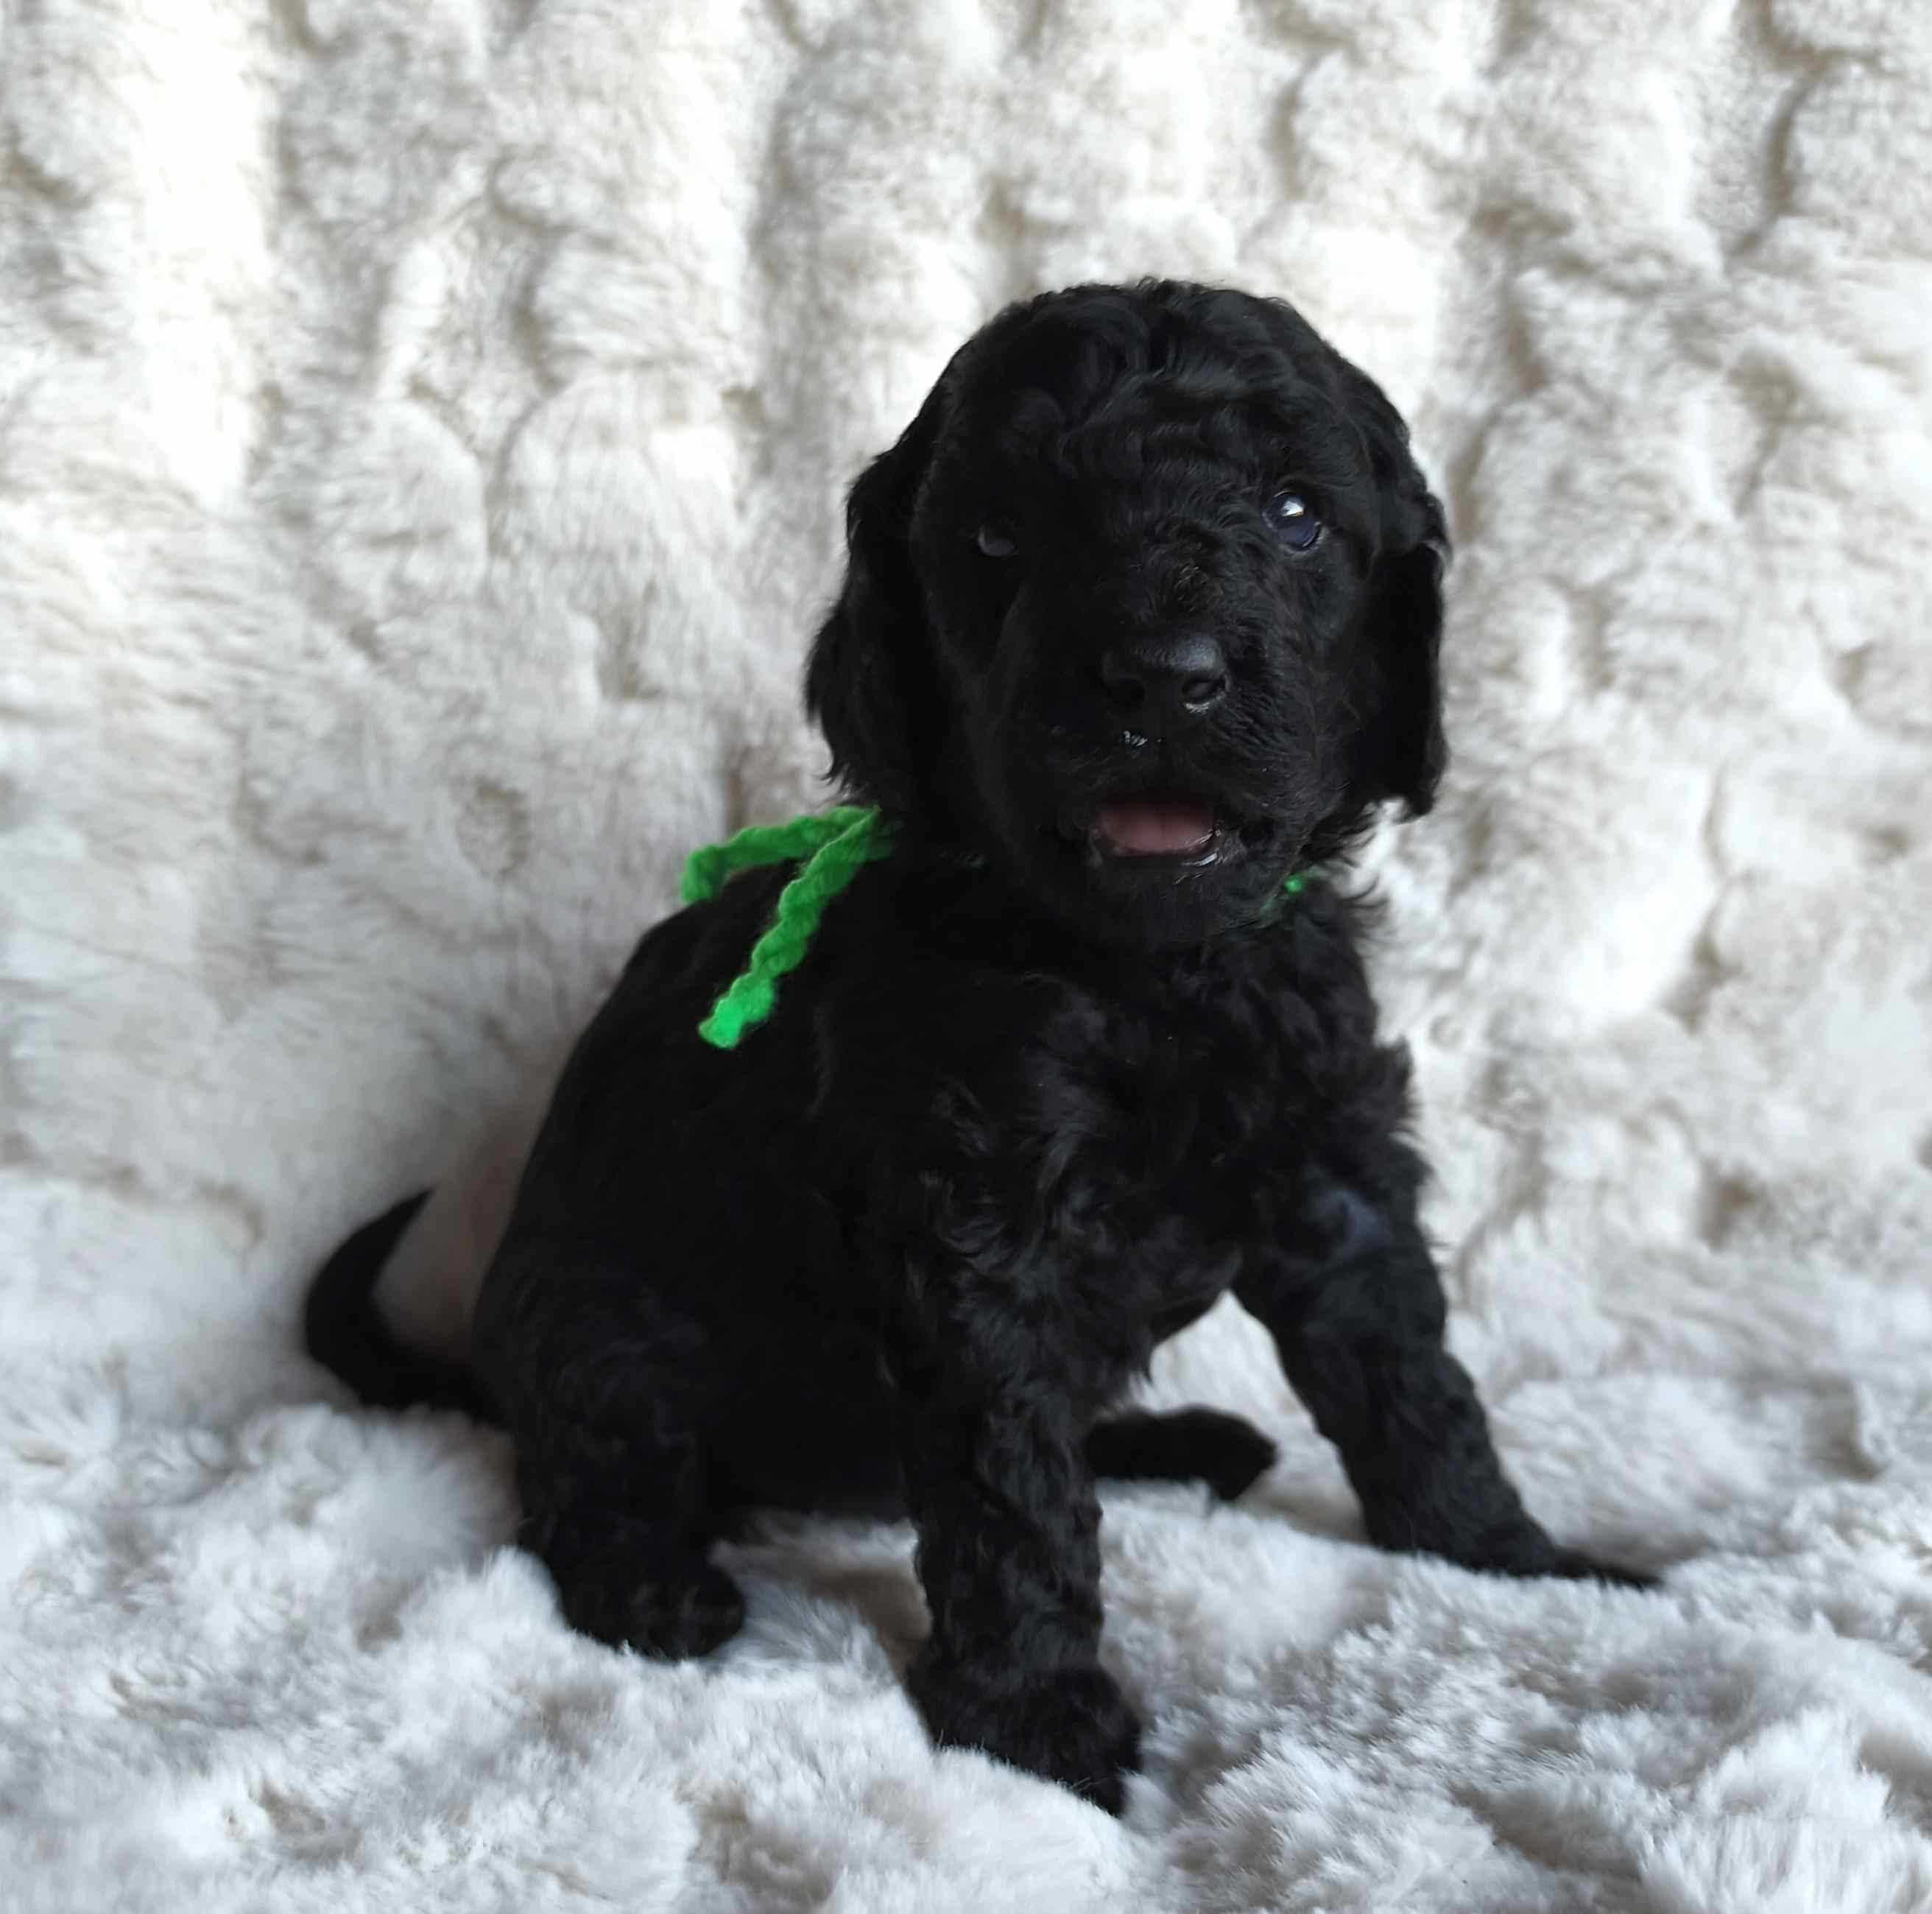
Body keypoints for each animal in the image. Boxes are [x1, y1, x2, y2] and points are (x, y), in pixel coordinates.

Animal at [308, 279, 1651, 1814]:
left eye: (1296, 514)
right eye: (999, 536)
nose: (1159, 678)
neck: (1146, 969)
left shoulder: (1331, 1157)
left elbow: (1409, 1376)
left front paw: (1514, 1561)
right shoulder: (973, 1221)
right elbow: (1010, 1480)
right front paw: (1032, 1715)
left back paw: (1181, 1439)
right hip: (594, 1314)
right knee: (590, 1475)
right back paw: (649, 1584)